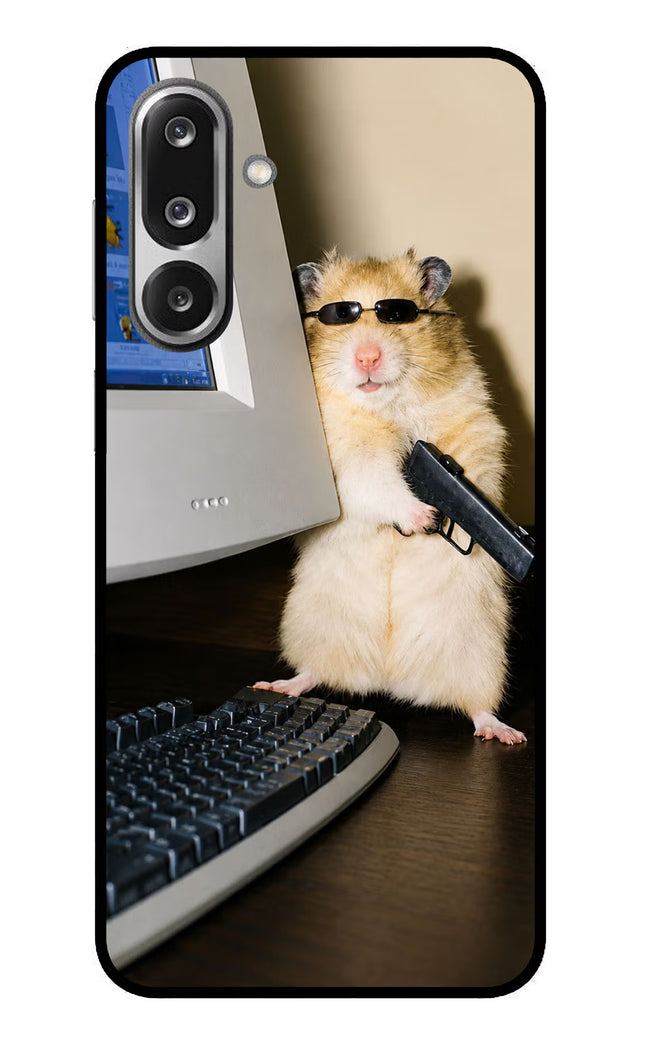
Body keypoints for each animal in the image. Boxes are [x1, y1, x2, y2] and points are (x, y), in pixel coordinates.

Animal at [255, 249, 526, 744]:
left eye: (398, 315)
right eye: (339, 316)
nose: (367, 357)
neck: (387, 405)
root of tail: (389, 679)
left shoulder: (475, 427)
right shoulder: (347, 459)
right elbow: (378, 482)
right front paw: (423, 518)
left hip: (480, 654)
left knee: (477, 706)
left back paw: (505, 733)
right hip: (312, 627)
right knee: (314, 672)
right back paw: (278, 685)